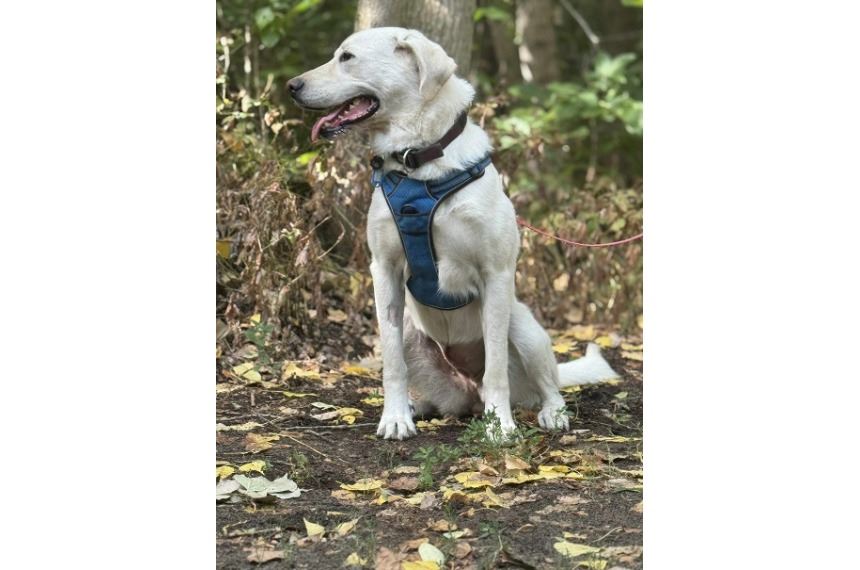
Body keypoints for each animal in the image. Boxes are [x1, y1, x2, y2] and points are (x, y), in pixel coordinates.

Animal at [289, 27, 619, 440]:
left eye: (346, 57)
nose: (291, 86)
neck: (418, 161)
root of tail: (468, 391)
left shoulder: (495, 274)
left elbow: (495, 367)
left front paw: (501, 427)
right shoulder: (383, 269)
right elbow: (392, 366)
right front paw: (394, 418)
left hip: (524, 328)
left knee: (547, 384)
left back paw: (549, 414)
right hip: (412, 334)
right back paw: (418, 407)